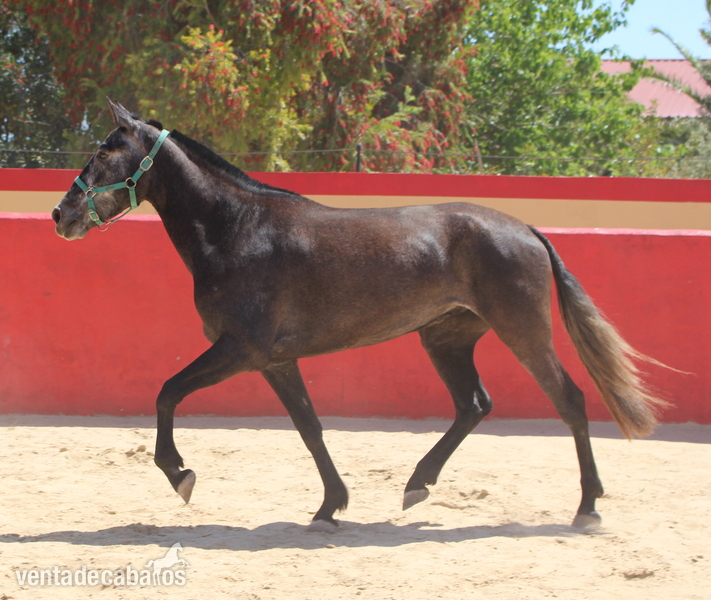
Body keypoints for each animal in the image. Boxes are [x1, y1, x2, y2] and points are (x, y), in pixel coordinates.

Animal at [52, 99, 666, 533]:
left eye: (104, 150)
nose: (62, 213)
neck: (238, 229)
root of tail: (528, 230)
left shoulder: (240, 349)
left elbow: (167, 393)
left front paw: (180, 474)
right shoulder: (274, 361)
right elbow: (309, 426)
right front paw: (331, 506)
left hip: (523, 332)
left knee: (571, 401)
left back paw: (587, 506)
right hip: (445, 338)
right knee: (474, 405)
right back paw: (417, 485)